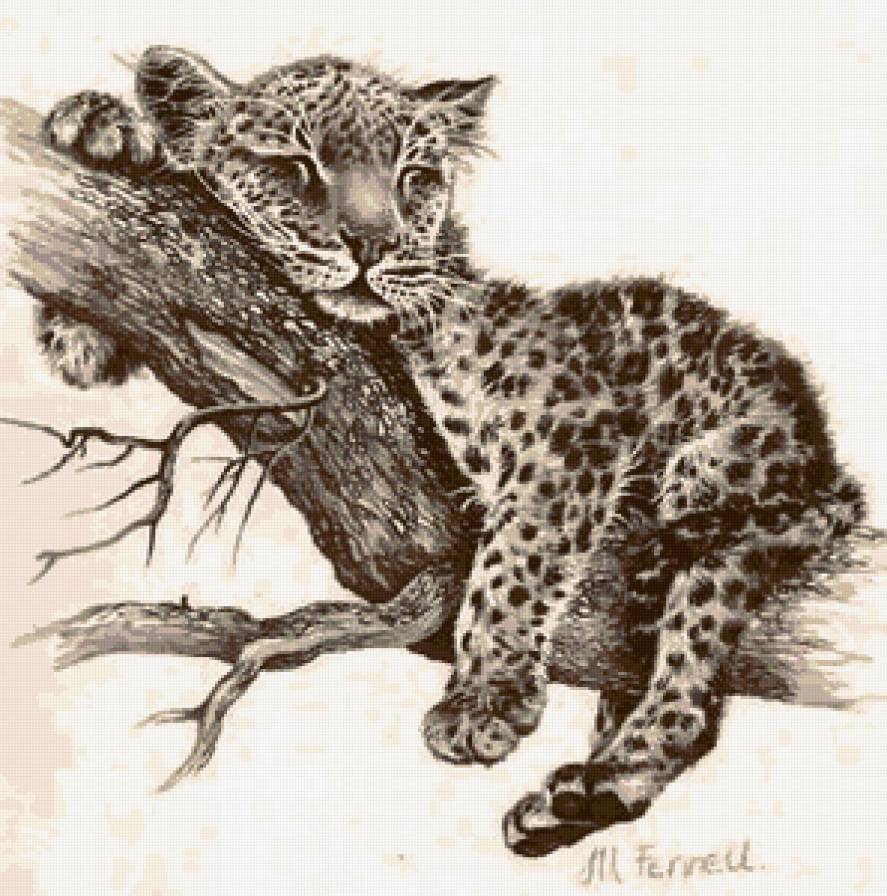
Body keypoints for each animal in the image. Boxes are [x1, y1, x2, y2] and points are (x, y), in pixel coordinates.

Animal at [39, 46, 866, 857]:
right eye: (296, 168)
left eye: (415, 178)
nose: (373, 246)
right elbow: (85, 335)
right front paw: (105, 125)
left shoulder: (571, 424)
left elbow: (515, 561)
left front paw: (485, 700)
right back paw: (582, 797)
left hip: (729, 457)